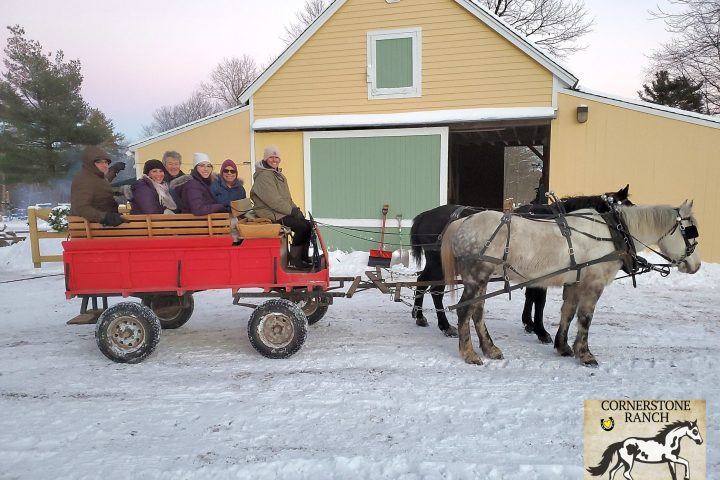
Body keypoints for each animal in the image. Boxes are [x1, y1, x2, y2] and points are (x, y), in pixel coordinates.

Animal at [409, 185, 632, 340]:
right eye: (621, 216)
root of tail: (426, 215)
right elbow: (539, 300)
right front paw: (540, 330)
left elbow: (530, 297)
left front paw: (529, 323)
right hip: (439, 264)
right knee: (435, 290)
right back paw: (444, 325)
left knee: (421, 282)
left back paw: (418, 315)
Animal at [440, 201, 700, 365]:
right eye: (690, 232)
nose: (696, 266)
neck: (612, 234)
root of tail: (464, 221)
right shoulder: (593, 283)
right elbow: (585, 318)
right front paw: (585, 354)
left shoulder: (575, 282)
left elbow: (568, 312)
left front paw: (563, 346)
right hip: (475, 278)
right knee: (464, 311)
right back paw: (469, 353)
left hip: (481, 280)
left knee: (477, 312)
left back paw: (489, 349)